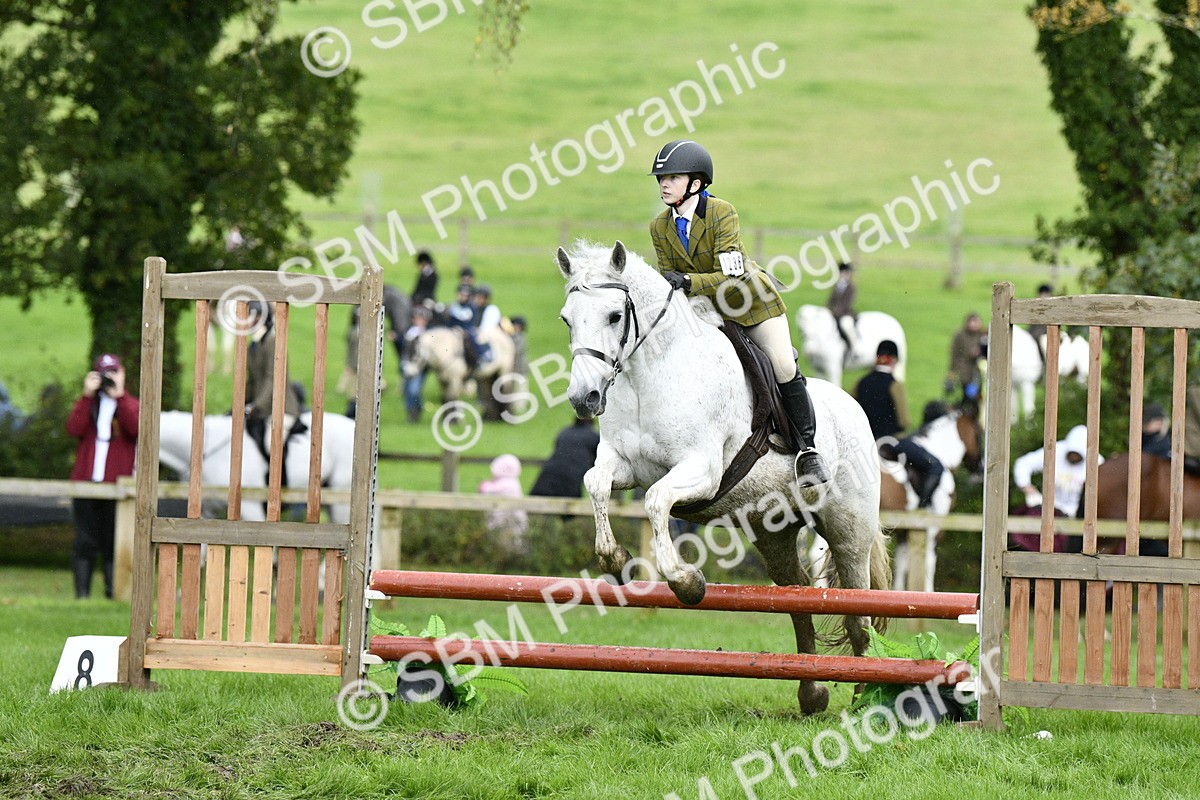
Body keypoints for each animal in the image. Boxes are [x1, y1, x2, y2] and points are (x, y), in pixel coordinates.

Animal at [557, 240, 890, 715]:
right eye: (567, 318)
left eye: (615, 316)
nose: (583, 399)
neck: (648, 375)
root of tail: (857, 411)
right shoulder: (622, 465)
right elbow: (596, 484)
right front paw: (615, 561)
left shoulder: (702, 470)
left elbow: (656, 501)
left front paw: (687, 583)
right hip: (773, 532)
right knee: (799, 597)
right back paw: (812, 692)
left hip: (849, 529)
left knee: (858, 614)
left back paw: (866, 698)